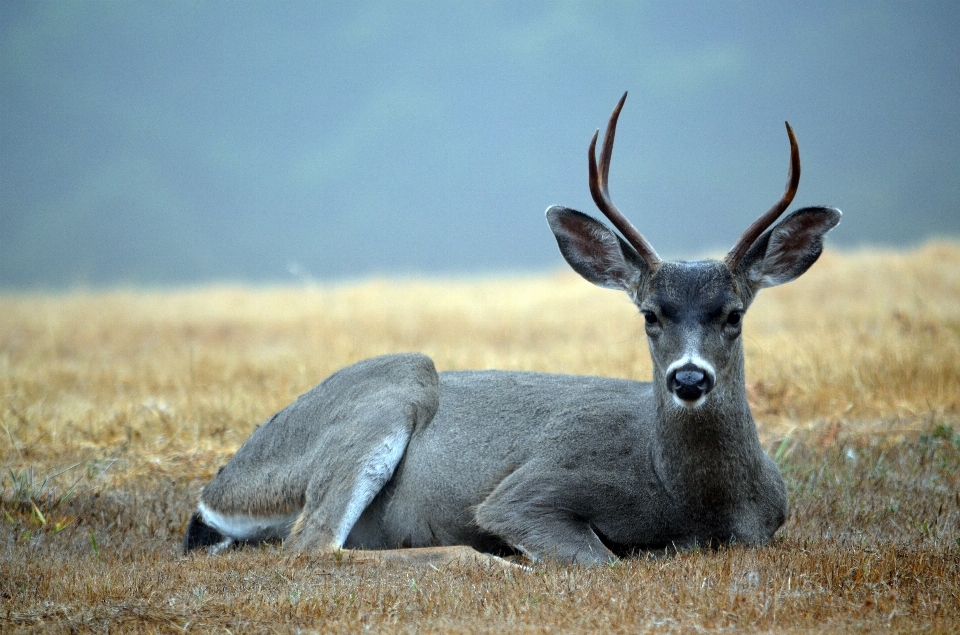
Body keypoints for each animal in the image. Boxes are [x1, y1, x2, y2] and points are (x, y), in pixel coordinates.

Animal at [182, 93, 840, 568]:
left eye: (734, 315)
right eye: (650, 315)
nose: (689, 380)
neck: (695, 502)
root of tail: (216, 494)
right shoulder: (530, 490)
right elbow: (600, 558)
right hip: (392, 389)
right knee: (310, 545)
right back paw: (485, 560)